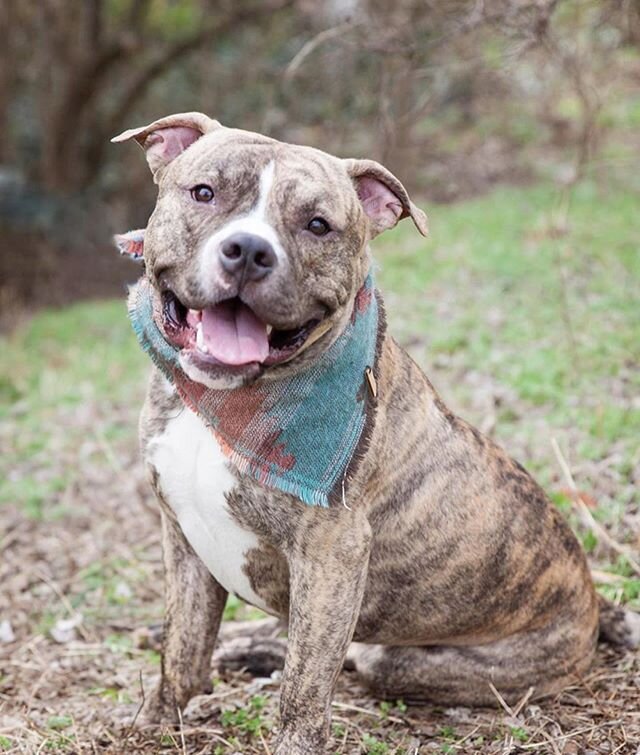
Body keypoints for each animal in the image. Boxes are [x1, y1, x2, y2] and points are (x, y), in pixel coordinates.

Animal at [112, 112, 636, 755]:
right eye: (204, 193)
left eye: (318, 225)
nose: (249, 250)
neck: (224, 402)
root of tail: (591, 600)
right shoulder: (181, 536)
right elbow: (182, 650)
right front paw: (153, 725)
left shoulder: (332, 552)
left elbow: (306, 688)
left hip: (412, 655)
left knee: (353, 657)